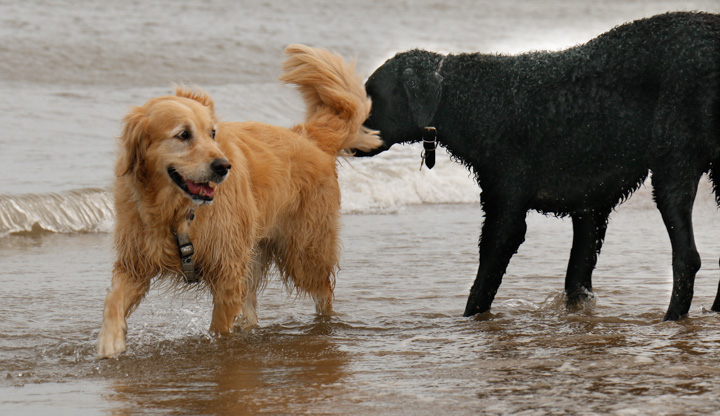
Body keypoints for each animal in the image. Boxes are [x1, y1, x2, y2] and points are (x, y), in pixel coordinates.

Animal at [358, 11, 720, 320]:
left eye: (373, 95)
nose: (346, 135)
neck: (471, 99)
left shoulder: (505, 209)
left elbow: (482, 286)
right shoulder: (589, 208)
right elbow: (576, 279)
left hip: (673, 165)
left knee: (687, 258)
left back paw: (671, 319)